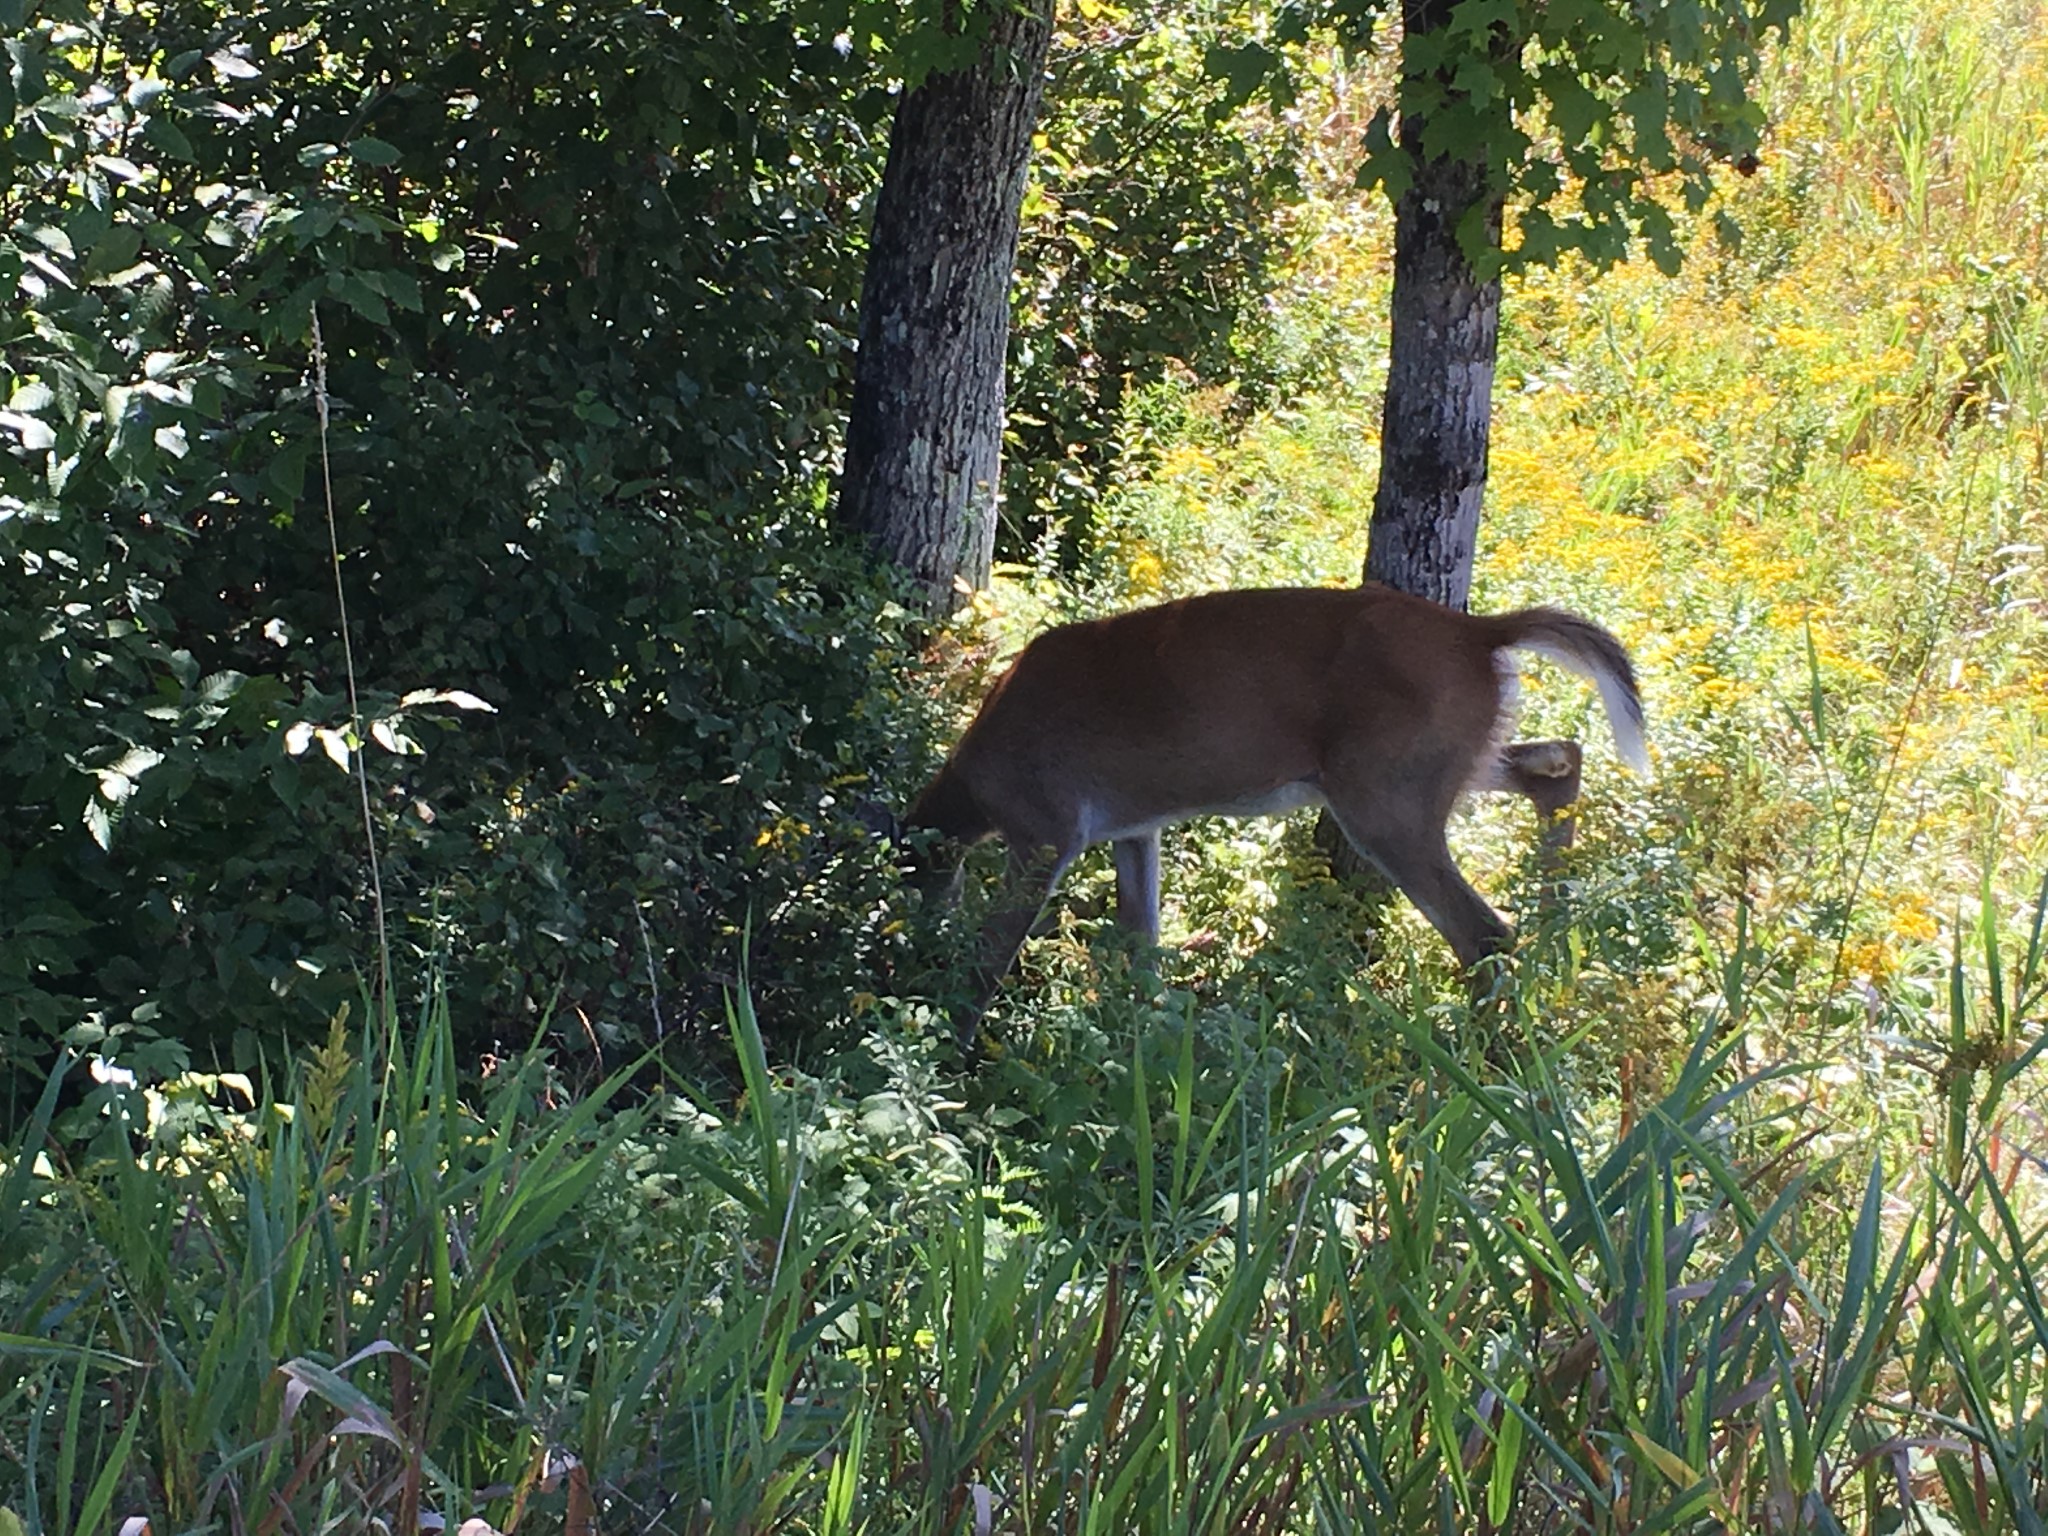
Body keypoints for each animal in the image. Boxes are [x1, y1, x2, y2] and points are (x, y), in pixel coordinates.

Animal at [888, 581, 1638, 1028]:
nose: (899, 960)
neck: (978, 782)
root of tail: (1482, 634)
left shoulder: (1047, 826)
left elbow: (991, 955)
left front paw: (956, 1044)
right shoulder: (1135, 829)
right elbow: (1141, 941)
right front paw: (1138, 1048)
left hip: (1384, 790)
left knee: (1483, 931)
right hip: (1435, 764)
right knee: (1558, 759)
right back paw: (1557, 934)